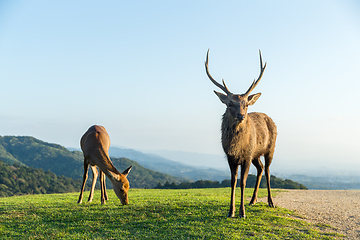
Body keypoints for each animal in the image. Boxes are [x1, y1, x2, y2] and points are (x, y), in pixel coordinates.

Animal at [204, 49, 278, 218]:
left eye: (246, 104)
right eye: (230, 103)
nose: (241, 116)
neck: (236, 147)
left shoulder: (246, 156)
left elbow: (243, 182)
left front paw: (242, 212)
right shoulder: (230, 157)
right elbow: (233, 182)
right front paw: (230, 211)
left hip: (270, 148)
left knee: (268, 170)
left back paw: (270, 202)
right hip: (255, 154)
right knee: (261, 168)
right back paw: (253, 200)